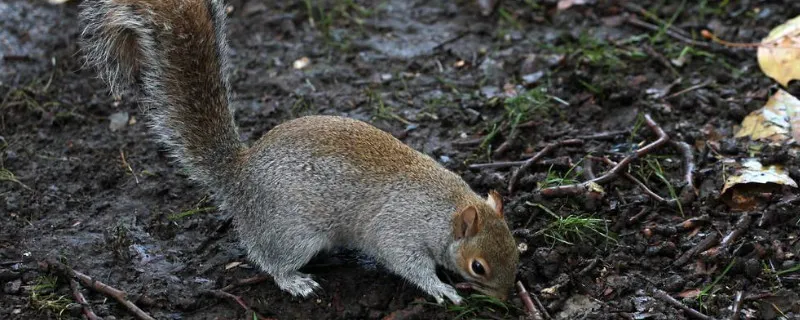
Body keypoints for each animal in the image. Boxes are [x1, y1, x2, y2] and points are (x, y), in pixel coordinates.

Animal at [79, 0, 520, 304]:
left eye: (515, 249)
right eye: (478, 267)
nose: (506, 299)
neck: (446, 209)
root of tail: (239, 177)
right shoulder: (399, 232)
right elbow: (407, 262)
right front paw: (441, 288)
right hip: (292, 233)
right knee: (268, 257)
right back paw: (294, 280)